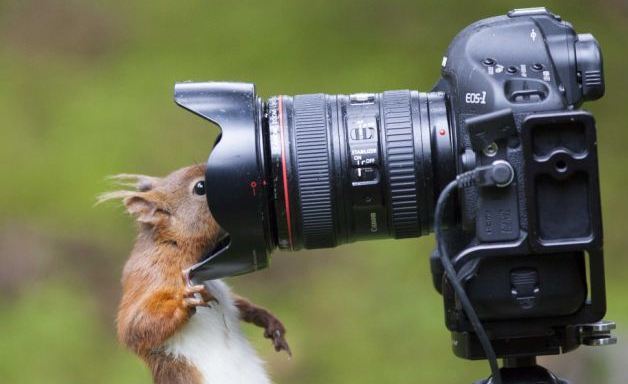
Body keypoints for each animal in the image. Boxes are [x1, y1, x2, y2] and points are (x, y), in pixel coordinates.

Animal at [99, 164, 290, 384]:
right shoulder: (150, 277)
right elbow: (134, 325)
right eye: (201, 187)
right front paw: (183, 302)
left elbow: (238, 302)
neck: (176, 248)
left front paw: (268, 320)